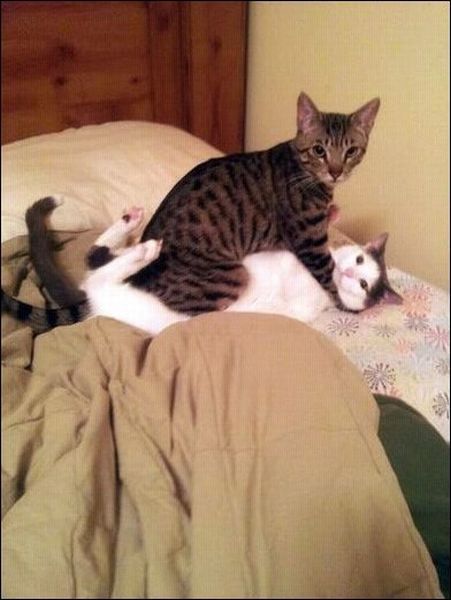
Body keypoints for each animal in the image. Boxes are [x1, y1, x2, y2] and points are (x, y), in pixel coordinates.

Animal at [2, 204, 402, 335]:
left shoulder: (301, 310)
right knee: (96, 259)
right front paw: (331, 215)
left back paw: (144, 247)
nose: (348, 276)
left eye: (364, 286)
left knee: (100, 273)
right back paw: (133, 227)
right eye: (360, 262)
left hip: (124, 297)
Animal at [15, 92, 381, 318]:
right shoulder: (307, 239)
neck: (304, 172)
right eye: (320, 150)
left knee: (97, 259)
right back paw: (143, 248)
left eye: (351, 151)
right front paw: (345, 297)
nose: (336, 171)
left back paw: (131, 225)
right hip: (230, 276)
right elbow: (328, 273)